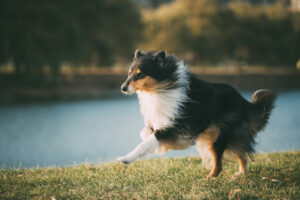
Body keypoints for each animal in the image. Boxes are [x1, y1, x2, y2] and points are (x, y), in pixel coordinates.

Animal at [117, 49, 276, 177]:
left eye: (140, 74)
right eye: (129, 73)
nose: (122, 88)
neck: (161, 88)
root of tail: (242, 100)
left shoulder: (173, 126)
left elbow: (145, 143)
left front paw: (125, 159)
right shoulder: (160, 122)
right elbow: (145, 134)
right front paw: (161, 148)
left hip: (218, 134)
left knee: (220, 163)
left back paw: (211, 178)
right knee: (240, 154)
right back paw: (240, 174)